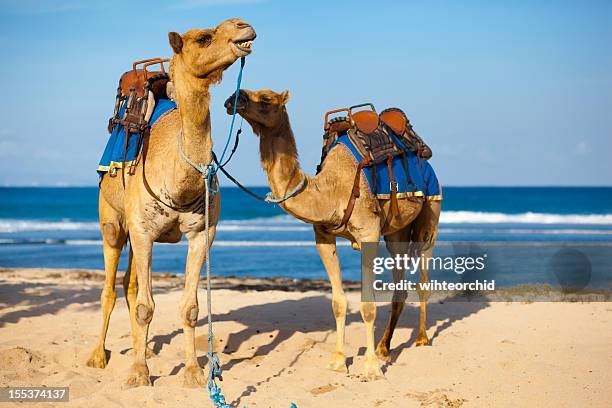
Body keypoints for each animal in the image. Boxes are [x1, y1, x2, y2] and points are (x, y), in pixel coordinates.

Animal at [86, 19, 256, 388]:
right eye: (203, 38)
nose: (244, 26)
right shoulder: (142, 231)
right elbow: (146, 307)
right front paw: (138, 375)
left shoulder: (202, 234)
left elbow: (190, 307)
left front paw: (193, 373)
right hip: (113, 223)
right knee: (109, 289)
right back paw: (98, 356)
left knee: (130, 286)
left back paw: (146, 350)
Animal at [225, 88, 440, 380]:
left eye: (267, 99)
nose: (235, 98)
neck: (330, 190)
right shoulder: (323, 237)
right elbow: (338, 303)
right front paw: (338, 361)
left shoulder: (368, 233)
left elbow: (367, 305)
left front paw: (371, 368)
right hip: (397, 230)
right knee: (400, 283)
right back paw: (384, 347)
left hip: (432, 208)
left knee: (424, 276)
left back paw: (420, 338)